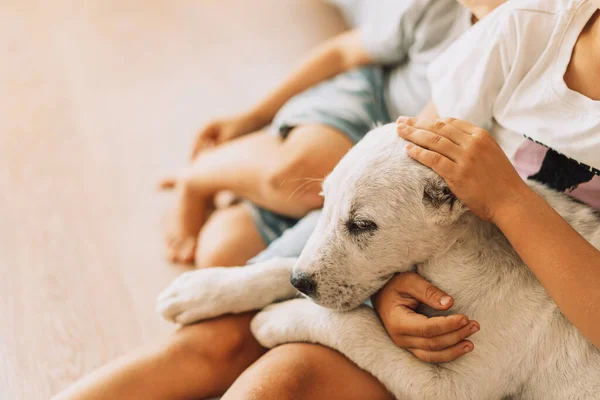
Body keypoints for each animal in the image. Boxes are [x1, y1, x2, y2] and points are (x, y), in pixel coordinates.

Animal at [157, 123, 596, 398]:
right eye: (323, 203)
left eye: (362, 225)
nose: (301, 285)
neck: (464, 254)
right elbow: (286, 266)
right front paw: (205, 289)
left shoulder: (451, 389)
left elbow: (354, 325)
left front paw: (274, 319)